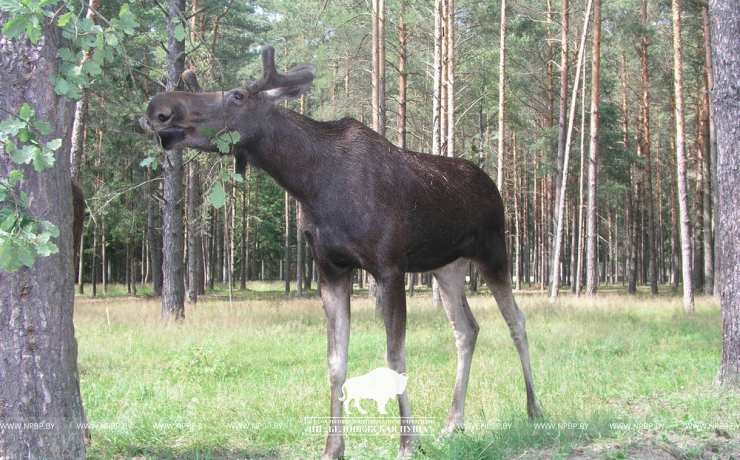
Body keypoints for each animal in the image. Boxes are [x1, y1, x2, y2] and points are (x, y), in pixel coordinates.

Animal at [140, 45, 544, 458]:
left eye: (237, 95)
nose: (159, 108)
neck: (310, 185)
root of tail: (494, 187)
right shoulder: (330, 267)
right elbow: (336, 362)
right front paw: (333, 446)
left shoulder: (389, 265)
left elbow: (394, 356)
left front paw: (408, 442)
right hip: (446, 266)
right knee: (466, 329)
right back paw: (453, 422)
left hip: (494, 250)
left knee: (517, 320)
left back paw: (533, 408)